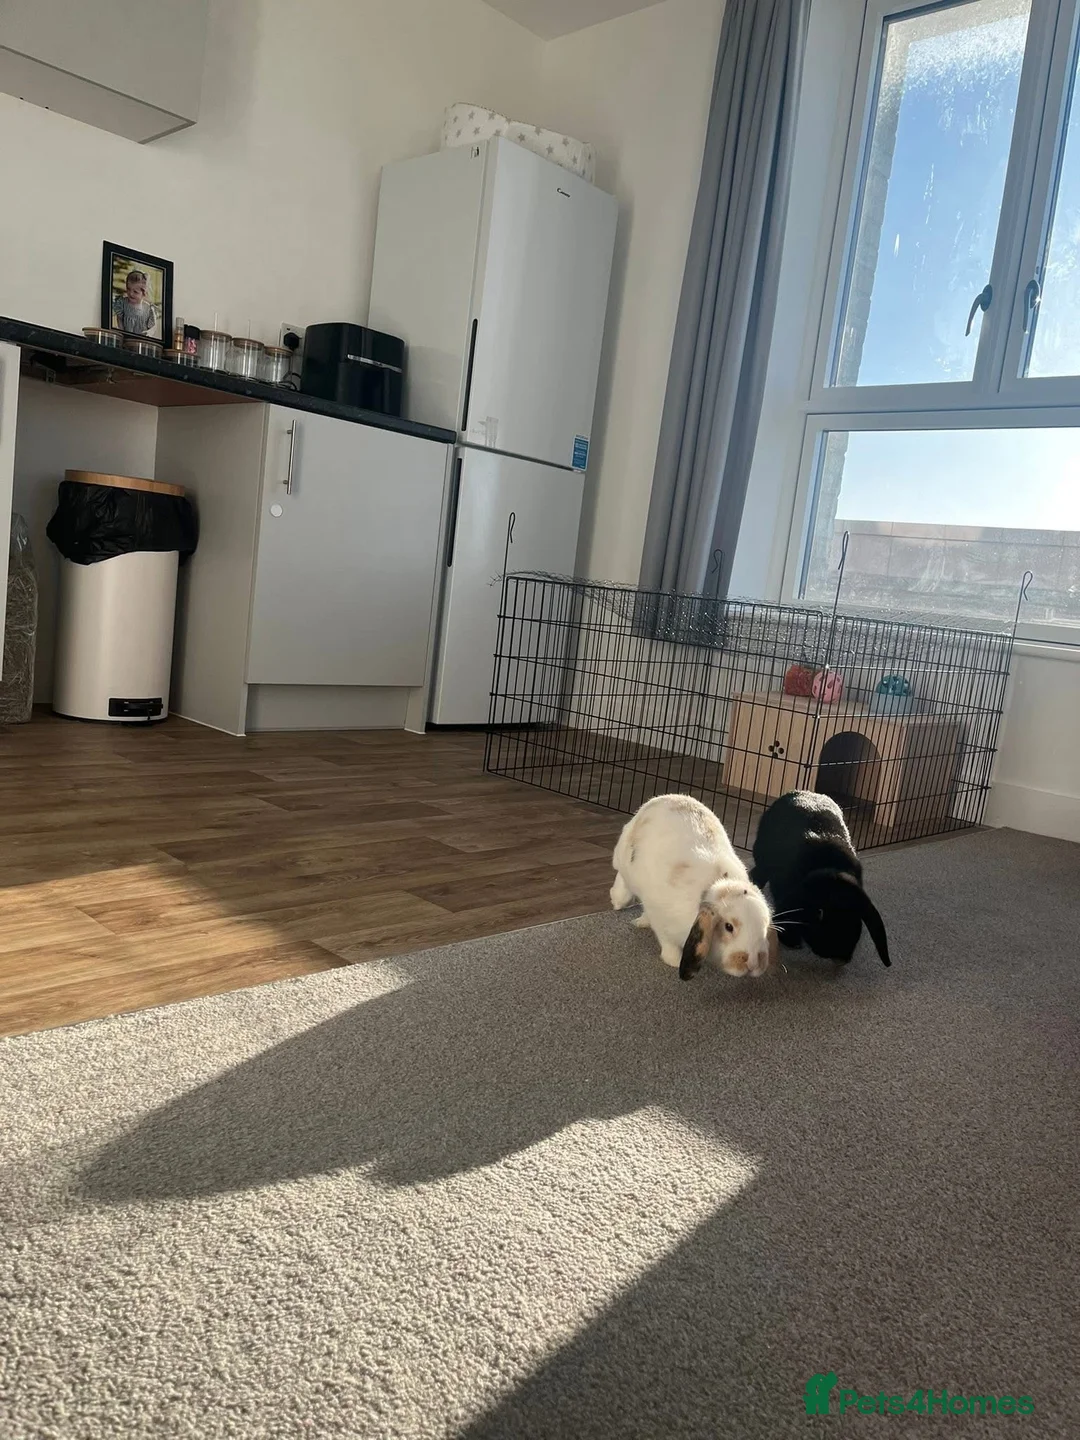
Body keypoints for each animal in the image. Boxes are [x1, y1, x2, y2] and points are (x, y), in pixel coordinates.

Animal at [610, 793, 777, 980]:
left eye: (765, 927)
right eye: (728, 927)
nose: (753, 964)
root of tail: (662, 798)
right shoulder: (661, 920)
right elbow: (667, 942)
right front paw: (674, 961)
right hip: (624, 860)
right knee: (622, 879)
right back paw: (618, 901)